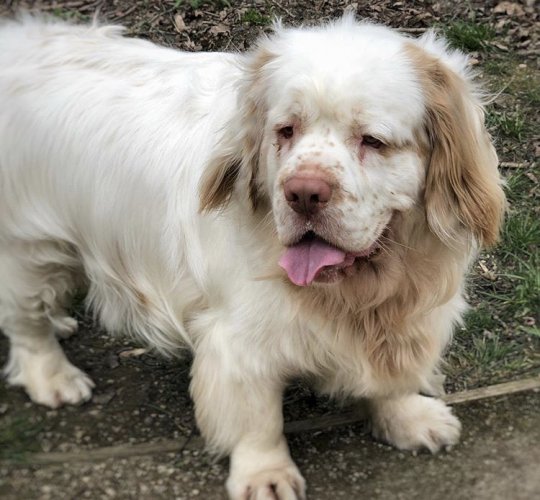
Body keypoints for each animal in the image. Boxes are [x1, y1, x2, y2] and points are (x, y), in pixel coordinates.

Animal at [1, 13, 506, 498]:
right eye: (285, 131)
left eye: (373, 140)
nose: (303, 192)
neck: (359, 291)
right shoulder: (239, 343)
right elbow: (256, 418)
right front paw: (266, 474)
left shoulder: (408, 316)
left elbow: (393, 377)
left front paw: (409, 418)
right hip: (28, 251)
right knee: (26, 324)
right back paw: (53, 377)